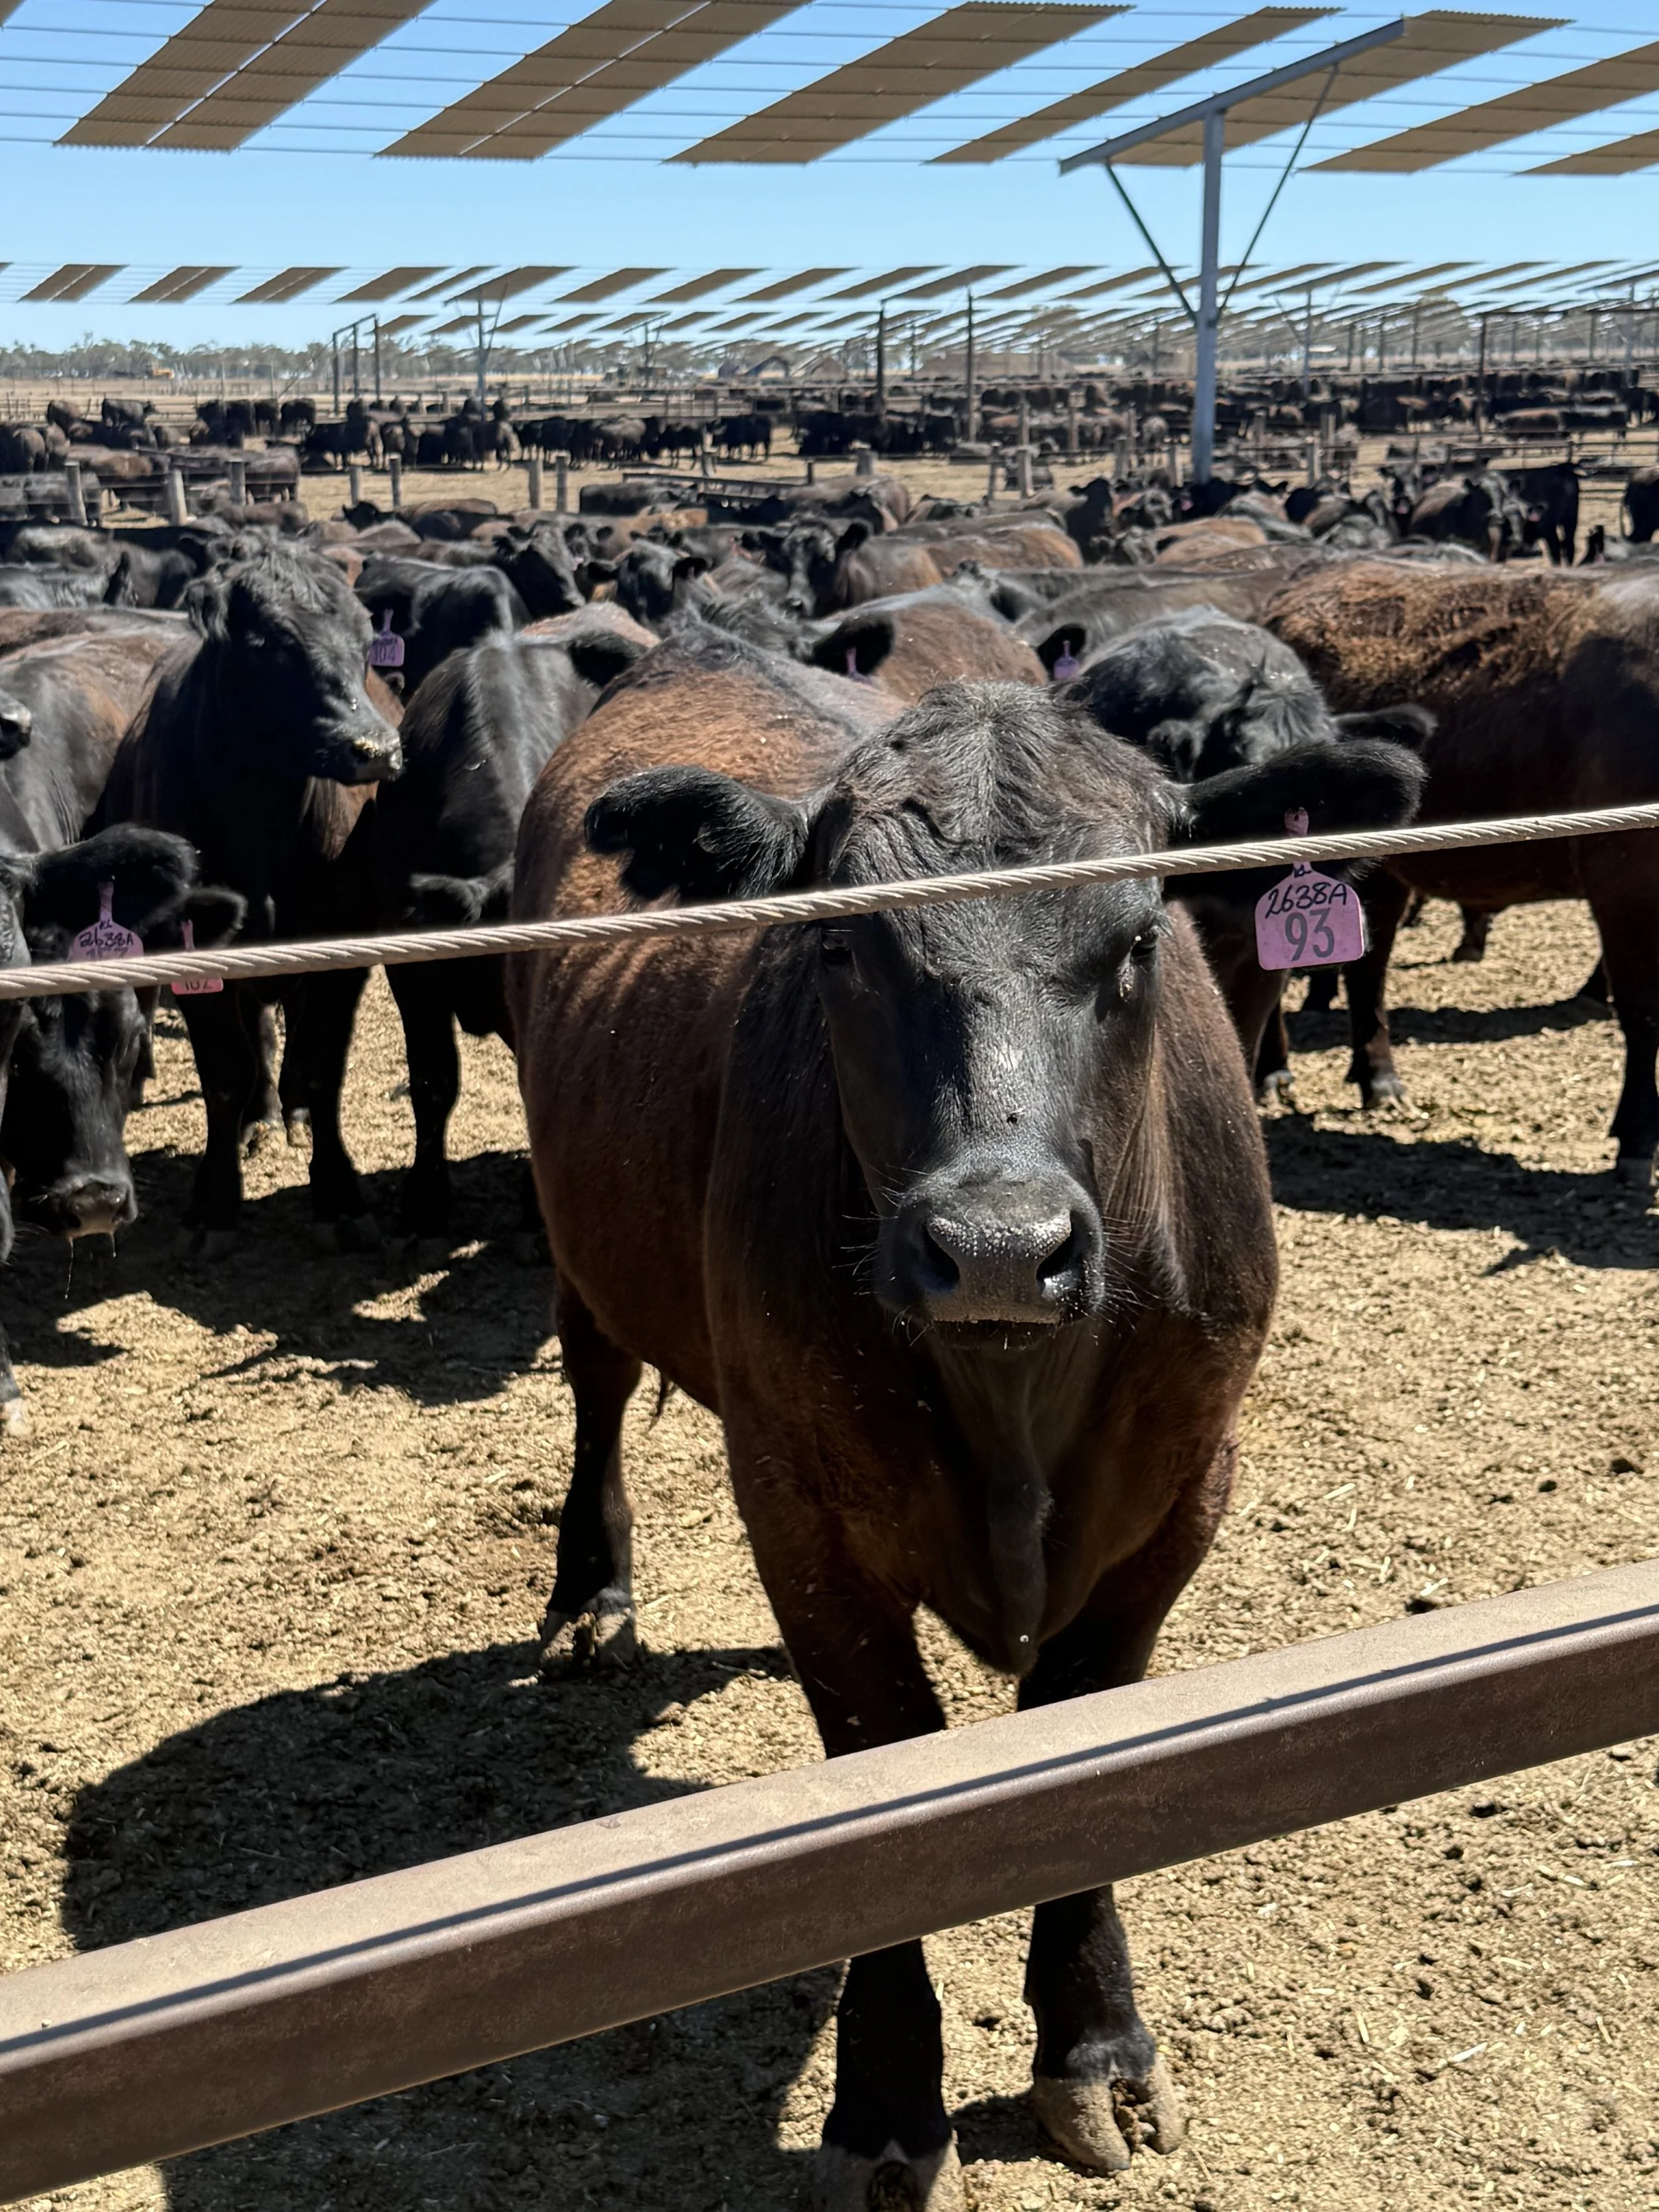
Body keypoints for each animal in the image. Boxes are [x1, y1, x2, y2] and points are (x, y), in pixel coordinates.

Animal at [97, 545, 403, 1252]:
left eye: (364, 637)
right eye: (271, 646)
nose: (376, 749)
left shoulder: (343, 949)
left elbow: (320, 1067)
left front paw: (339, 1194)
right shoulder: (192, 951)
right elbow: (226, 1071)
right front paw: (215, 1201)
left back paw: (290, 1116)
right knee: (260, 1037)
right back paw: (260, 1119)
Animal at [1270, 560, 1659, 1180]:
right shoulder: (1623, 881)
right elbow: (1644, 1014)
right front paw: (1639, 1137)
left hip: (1380, 871)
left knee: (1369, 963)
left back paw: (1376, 1074)